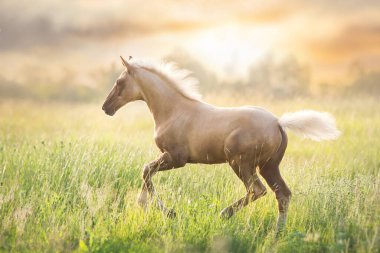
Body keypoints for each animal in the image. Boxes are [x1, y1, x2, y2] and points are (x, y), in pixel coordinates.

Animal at [101, 55, 342, 233]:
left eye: (119, 82)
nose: (106, 107)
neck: (174, 110)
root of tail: (278, 122)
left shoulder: (176, 158)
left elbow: (146, 170)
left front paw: (166, 211)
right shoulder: (170, 158)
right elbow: (147, 173)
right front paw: (147, 206)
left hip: (240, 163)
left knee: (257, 190)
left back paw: (224, 214)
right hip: (269, 166)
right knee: (282, 194)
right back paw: (277, 235)